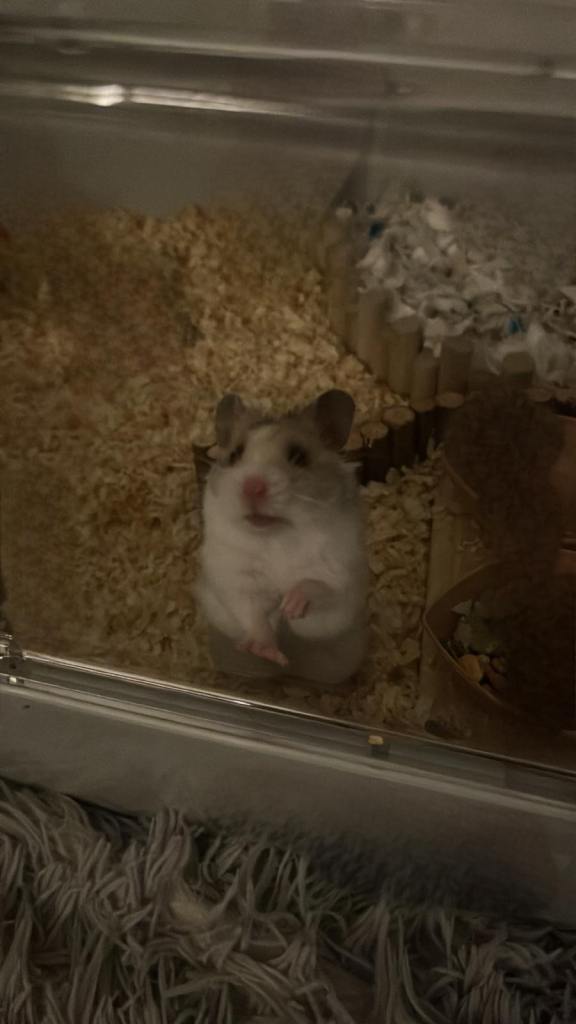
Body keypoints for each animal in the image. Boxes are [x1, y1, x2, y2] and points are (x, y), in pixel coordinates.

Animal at [198, 389, 369, 672]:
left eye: (299, 457)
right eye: (234, 455)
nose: (252, 487)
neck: (277, 535)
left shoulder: (340, 573)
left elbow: (317, 585)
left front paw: (289, 606)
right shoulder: (234, 575)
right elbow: (253, 614)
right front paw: (266, 652)